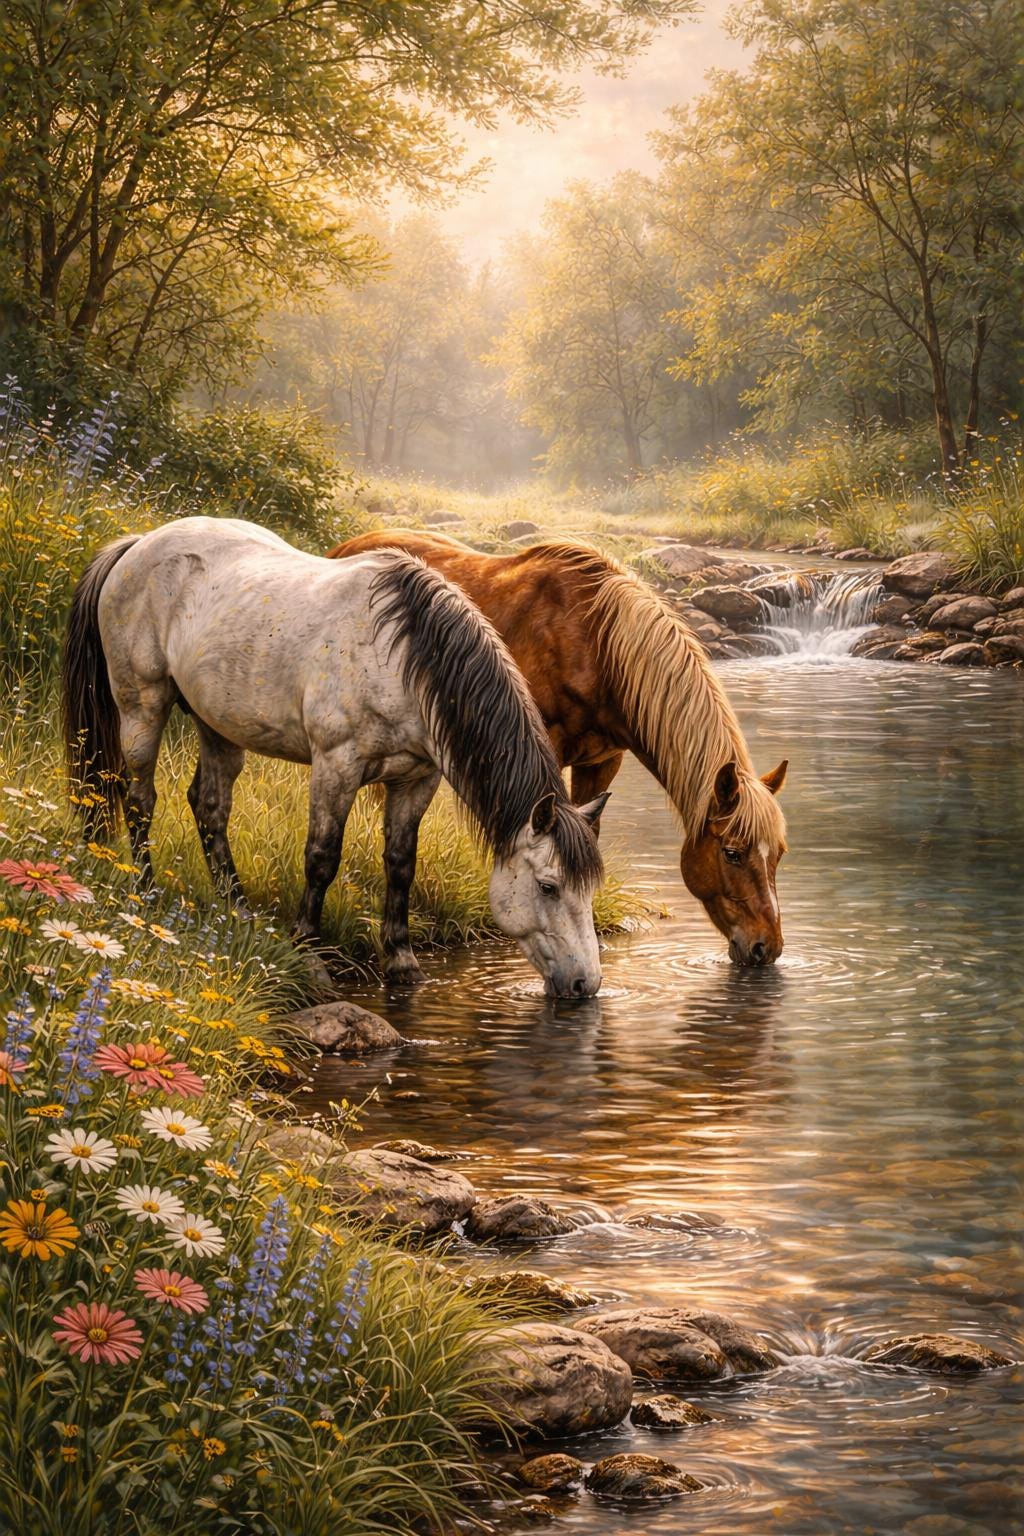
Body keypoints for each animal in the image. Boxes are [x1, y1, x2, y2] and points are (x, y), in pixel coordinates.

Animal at [62, 517, 608, 997]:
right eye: (548, 887)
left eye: (589, 890)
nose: (585, 985)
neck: (402, 659)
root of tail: (137, 545)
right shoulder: (336, 765)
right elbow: (322, 857)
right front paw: (308, 953)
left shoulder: (417, 779)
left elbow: (401, 863)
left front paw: (403, 961)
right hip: (142, 705)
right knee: (140, 800)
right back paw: (147, 893)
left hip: (217, 723)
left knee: (209, 805)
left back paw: (236, 910)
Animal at [329, 530, 789, 965]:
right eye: (732, 853)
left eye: (779, 854)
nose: (767, 947)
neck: (599, 646)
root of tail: (343, 549)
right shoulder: (542, 750)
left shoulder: (602, 762)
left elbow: (588, 836)